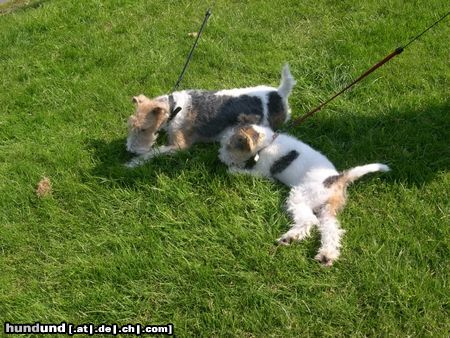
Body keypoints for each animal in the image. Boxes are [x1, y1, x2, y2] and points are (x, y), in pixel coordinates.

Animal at [125, 64, 296, 167]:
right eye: (130, 126)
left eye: (143, 129)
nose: (130, 150)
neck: (174, 107)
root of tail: (279, 93)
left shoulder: (180, 145)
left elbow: (155, 152)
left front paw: (133, 163)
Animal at [220, 124, 388, 266]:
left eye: (229, 145)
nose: (220, 157)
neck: (269, 142)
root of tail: (338, 179)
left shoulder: (262, 171)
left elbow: (246, 172)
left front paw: (232, 170)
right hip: (327, 210)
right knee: (331, 231)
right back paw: (326, 256)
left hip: (299, 197)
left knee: (309, 220)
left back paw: (289, 237)